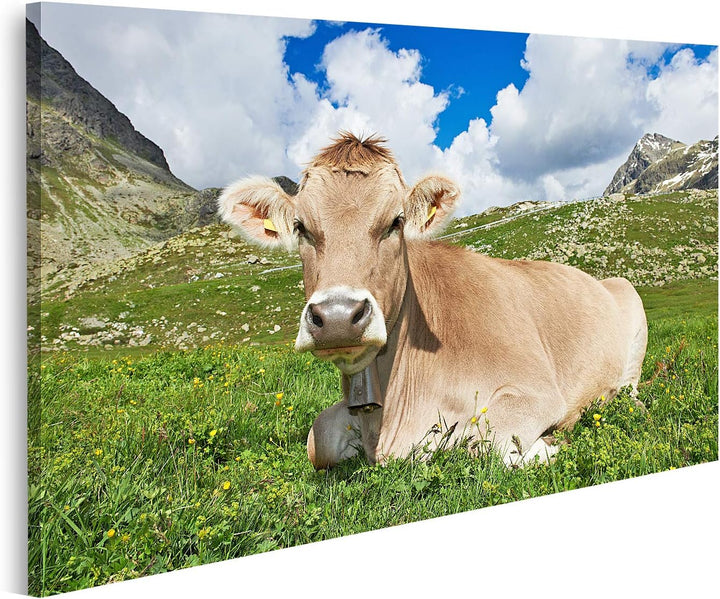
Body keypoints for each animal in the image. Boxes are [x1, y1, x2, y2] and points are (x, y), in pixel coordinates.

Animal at [218, 132, 648, 469]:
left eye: (395, 223)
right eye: (301, 227)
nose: (338, 317)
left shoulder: (537, 390)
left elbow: (491, 443)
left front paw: (545, 447)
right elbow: (317, 438)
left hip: (631, 304)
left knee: (630, 389)